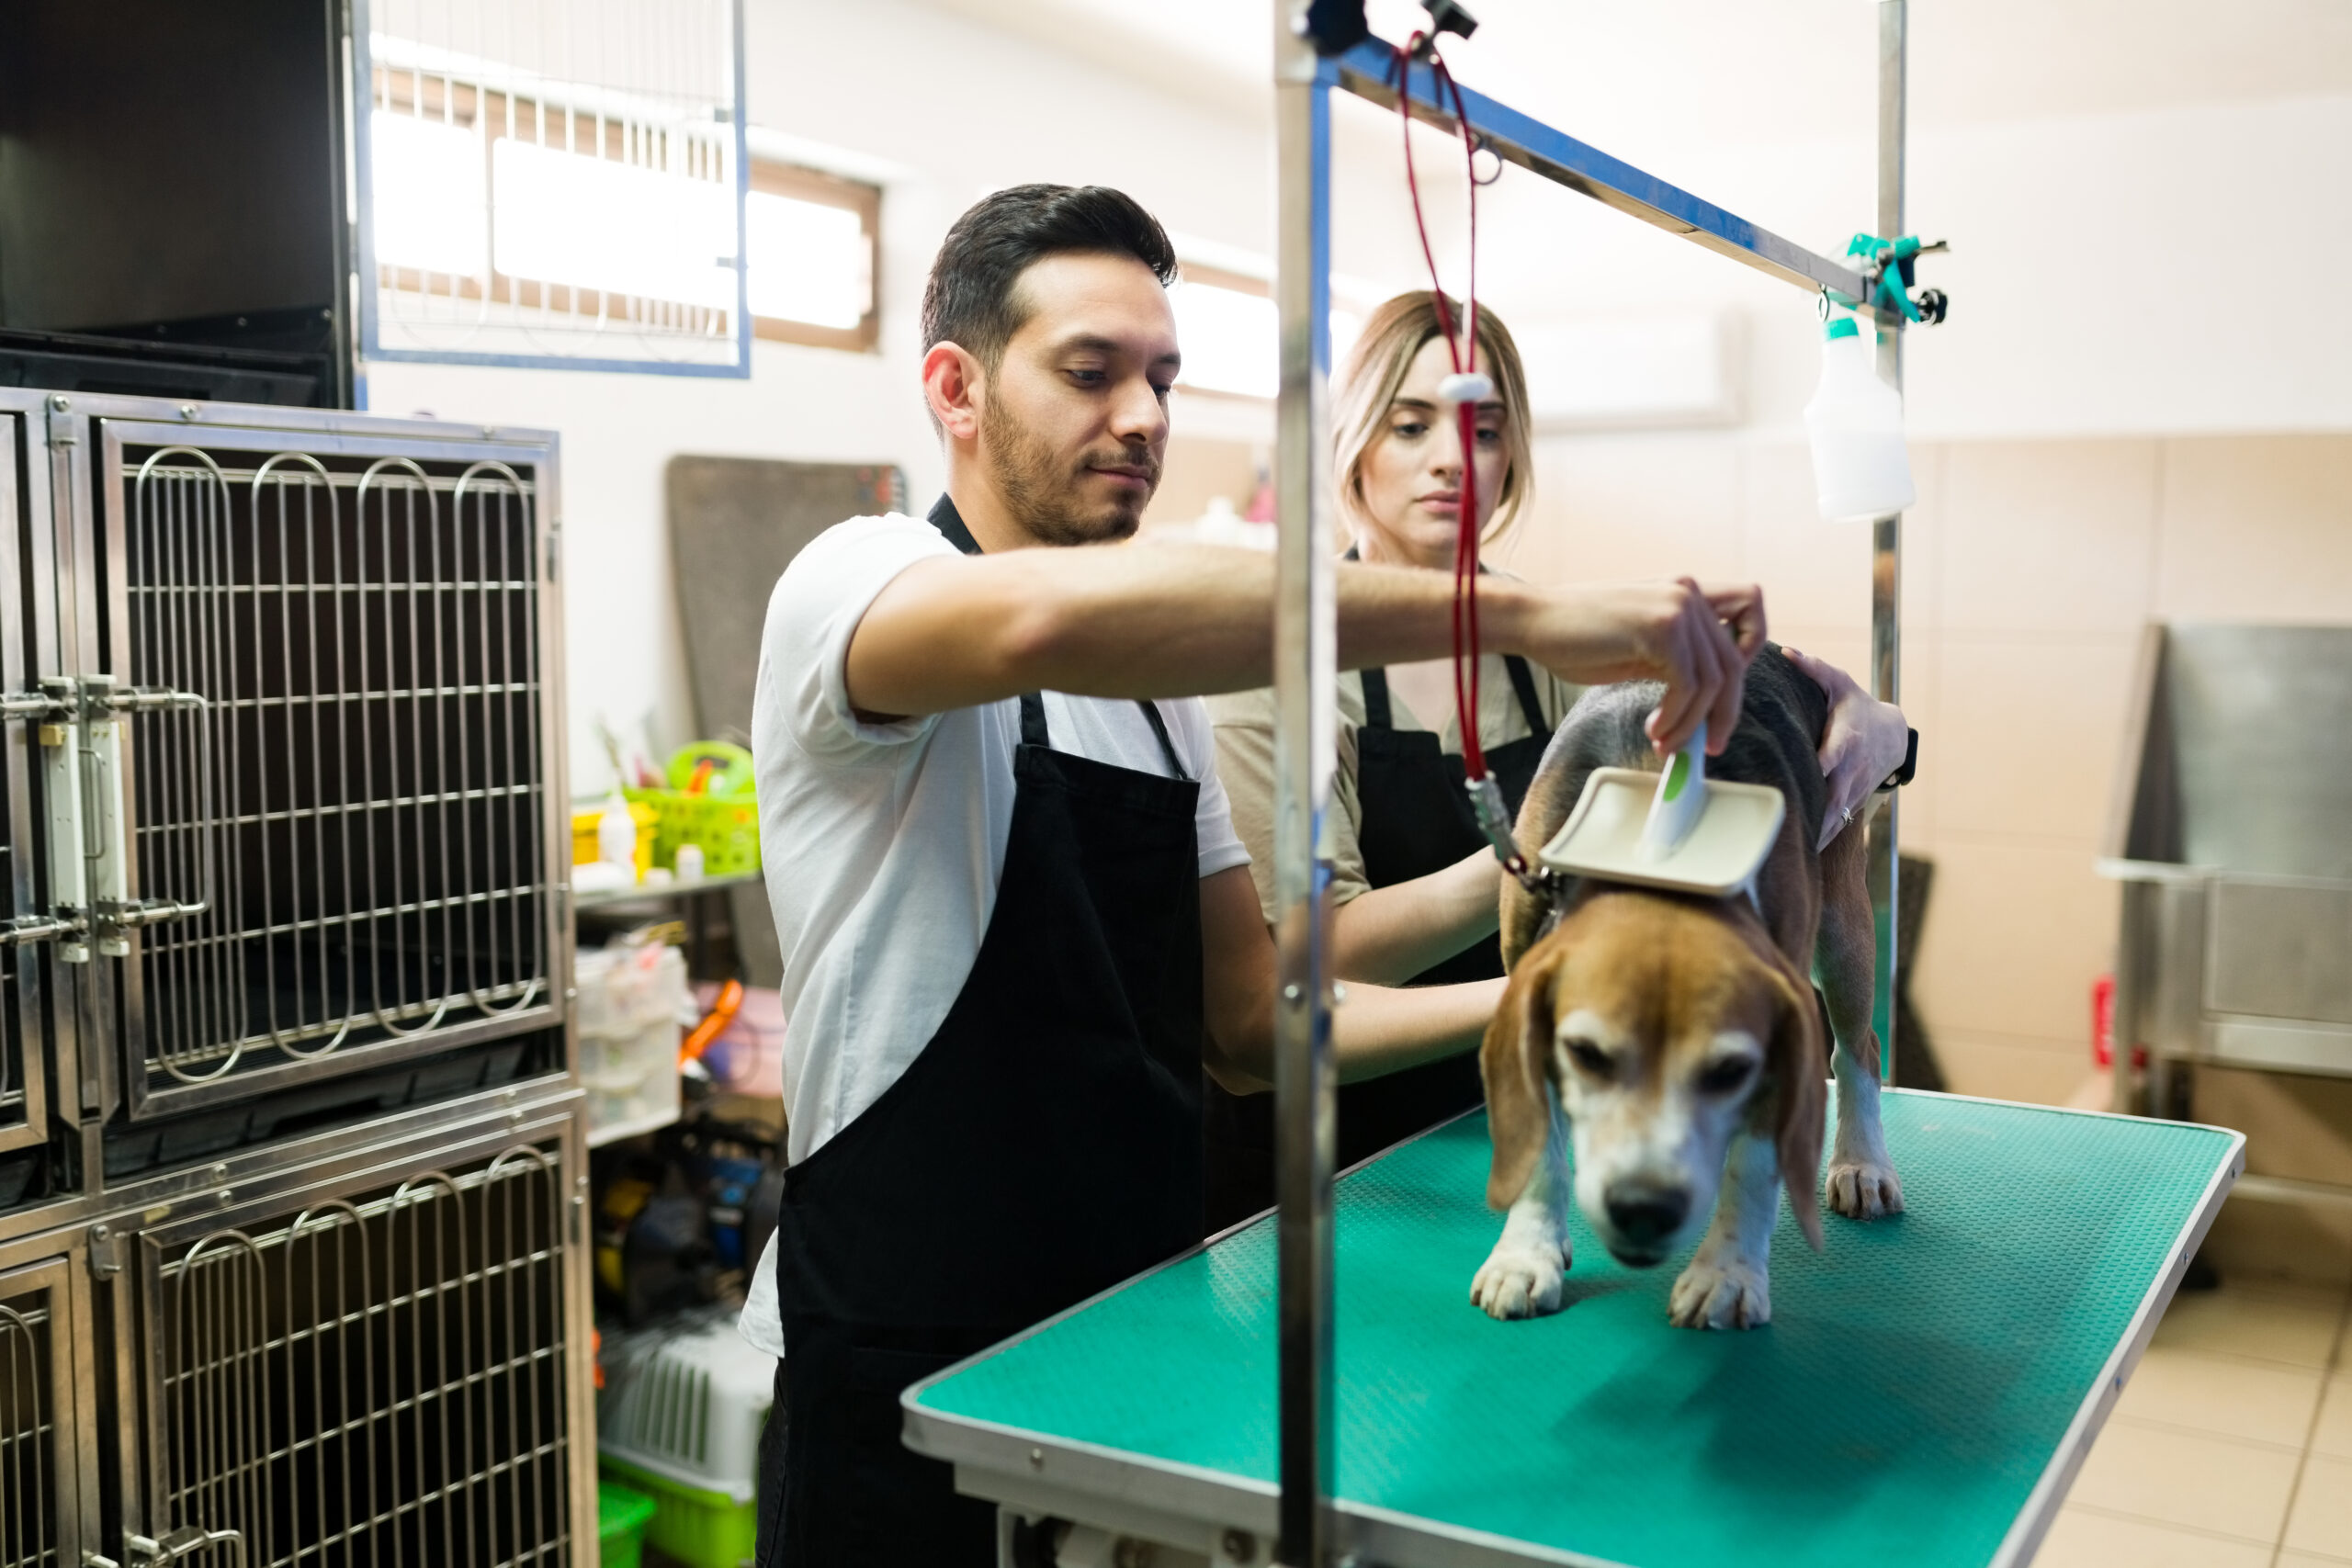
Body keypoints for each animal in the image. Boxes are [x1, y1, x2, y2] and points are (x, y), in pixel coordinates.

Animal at [1476, 649, 1900, 1335]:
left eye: (1729, 1071)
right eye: (1586, 1055)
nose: (1644, 1207)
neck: (1659, 865)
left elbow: (1751, 1167)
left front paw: (1726, 1275)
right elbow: (1540, 1148)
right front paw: (1527, 1252)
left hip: (1843, 928)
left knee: (1860, 1050)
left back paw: (1862, 1162)